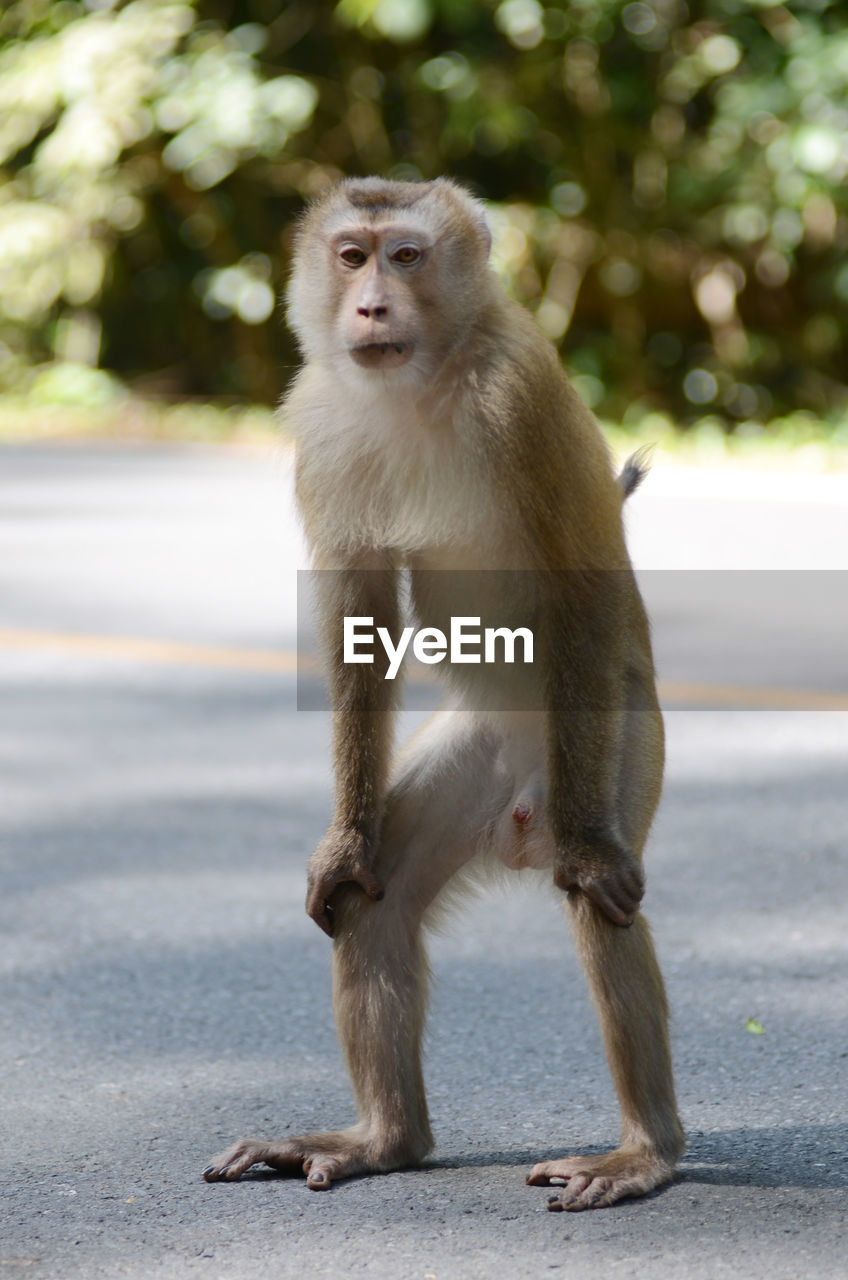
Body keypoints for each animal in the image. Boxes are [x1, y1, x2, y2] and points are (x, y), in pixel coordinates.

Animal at [202, 177, 686, 1208]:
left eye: (408, 256)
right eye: (352, 255)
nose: (372, 306)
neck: (421, 385)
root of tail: (524, 815)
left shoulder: (520, 396)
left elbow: (581, 584)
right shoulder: (319, 420)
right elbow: (358, 610)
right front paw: (343, 842)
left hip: (617, 740)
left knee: (600, 901)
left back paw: (645, 1152)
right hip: (476, 754)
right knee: (373, 911)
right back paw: (385, 1141)